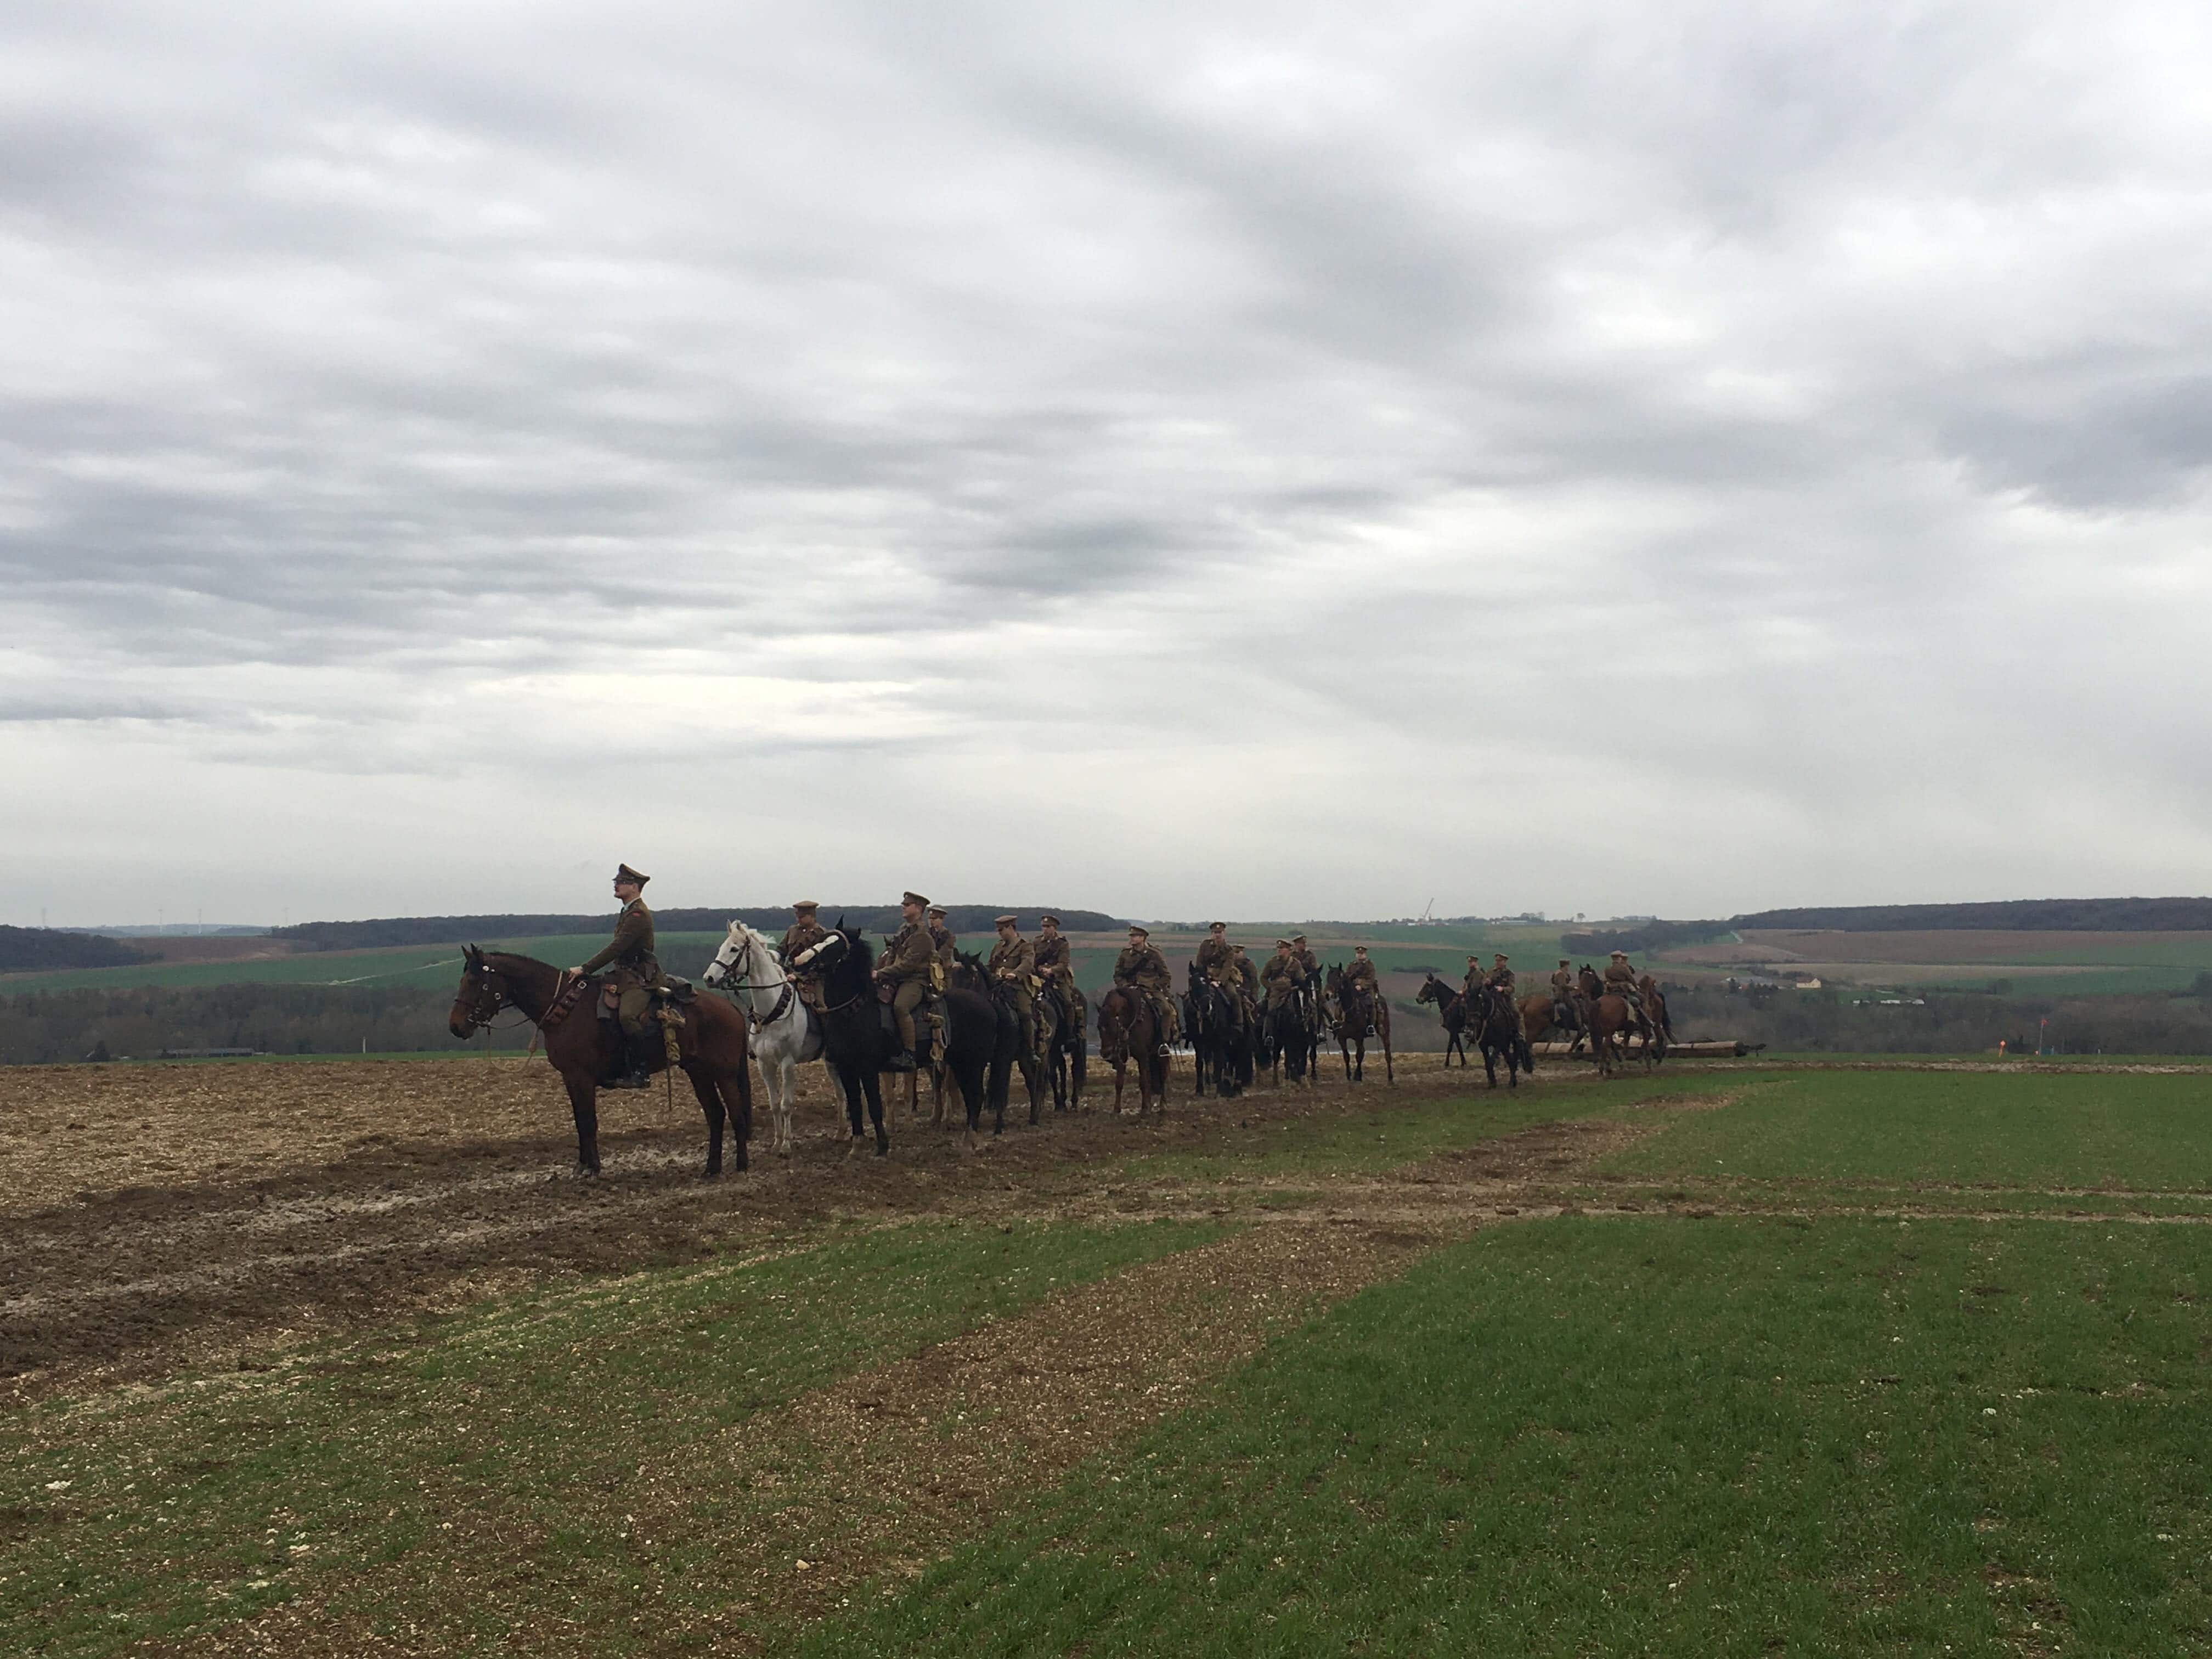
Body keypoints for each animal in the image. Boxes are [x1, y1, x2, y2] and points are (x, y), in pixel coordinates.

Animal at [444, 946, 756, 1186]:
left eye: (474, 981)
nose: (456, 1027)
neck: (564, 1008)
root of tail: (731, 1010)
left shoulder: (581, 1077)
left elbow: (588, 1122)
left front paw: (592, 1168)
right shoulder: (570, 1079)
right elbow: (580, 1122)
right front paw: (582, 1166)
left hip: (724, 1074)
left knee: (736, 1114)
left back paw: (741, 1166)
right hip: (698, 1072)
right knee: (715, 1115)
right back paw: (711, 1168)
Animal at [699, 924, 822, 1159]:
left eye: (734, 949)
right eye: (722, 947)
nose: (709, 977)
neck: (772, 1013)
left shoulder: (787, 1063)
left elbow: (786, 1104)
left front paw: (787, 1145)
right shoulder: (764, 1064)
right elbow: (774, 1104)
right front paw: (777, 1142)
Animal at [1092, 986, 1167, 1119]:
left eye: (1113, 1025)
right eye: (1099, 1026)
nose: (1106, 1053)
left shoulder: (1143, 1056)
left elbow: (1144, 1081)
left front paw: (1145, 1109)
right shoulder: (1121, 1057)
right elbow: (1119, 1083)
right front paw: (1116, 1109)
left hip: (1162, 1053)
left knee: (1163, 1076)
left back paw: (1162, 1105)